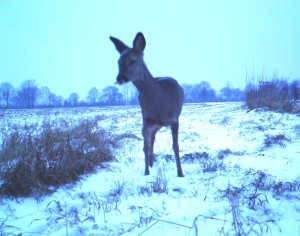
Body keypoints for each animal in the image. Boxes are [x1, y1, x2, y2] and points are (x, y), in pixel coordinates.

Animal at [110, 32, 184, 177]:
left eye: (132, 61)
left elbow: (176, 146)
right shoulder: (147, 119)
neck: (161, 102)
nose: (120, 78)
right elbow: (145, 146)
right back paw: (150, 163)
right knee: (151, 138)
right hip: (148, 119)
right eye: (118, 62)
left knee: (153, 137)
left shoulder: (174, 119)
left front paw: (180, 173)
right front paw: (146, 172)